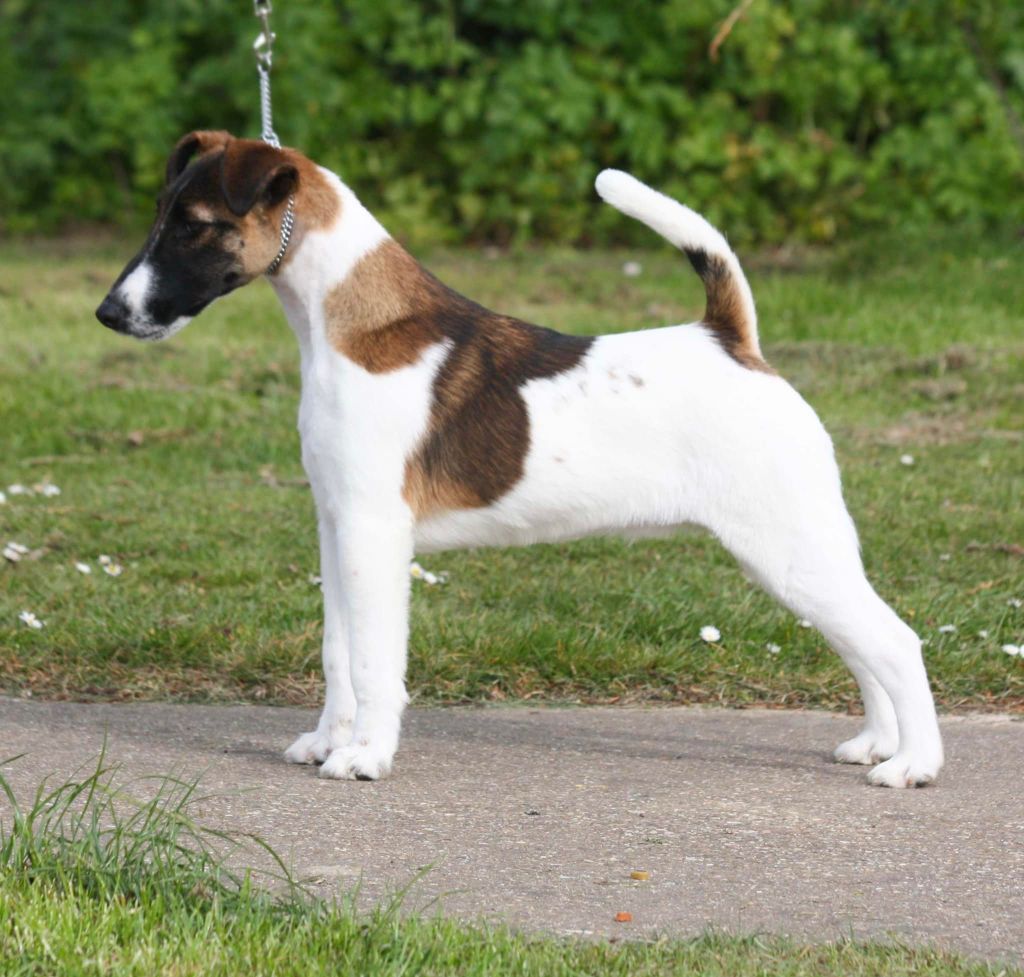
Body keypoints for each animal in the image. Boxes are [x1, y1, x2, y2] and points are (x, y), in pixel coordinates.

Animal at [96, 131, 942, 786]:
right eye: (161, 217)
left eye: (193, 226)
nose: (109, 312)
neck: (348, 323)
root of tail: (731, 341)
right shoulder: (337, 527)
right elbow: (339, 652)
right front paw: (325, 742)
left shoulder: (374, 532)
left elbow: (374, 662)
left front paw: (365, 756)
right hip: (803, 553)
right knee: (862, 642)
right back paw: (877, 743)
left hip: (790, 548)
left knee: (895, 641)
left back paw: (913, 764)